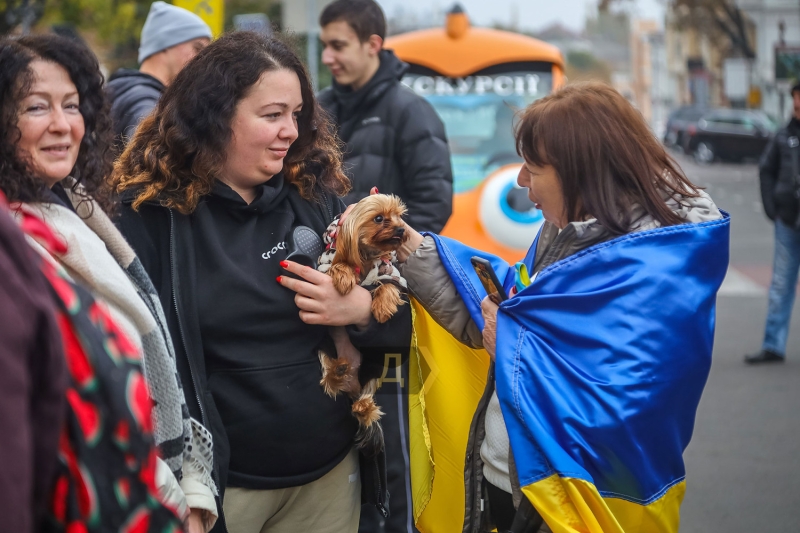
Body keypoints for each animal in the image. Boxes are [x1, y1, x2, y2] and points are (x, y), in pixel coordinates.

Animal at [316, 194, 410, 454]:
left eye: (399, 216)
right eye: (378, 218)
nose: (401, 229)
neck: (366, 254)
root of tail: (352, 387)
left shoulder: (391, 274)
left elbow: (388, 286)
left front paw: (382, 307)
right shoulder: (324, 266)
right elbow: (338, 265)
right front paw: (344, 275)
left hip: (374, 366)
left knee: (366, 400)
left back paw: (363, 406)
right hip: (325, 346)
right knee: (329, 374)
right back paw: (337, 372)